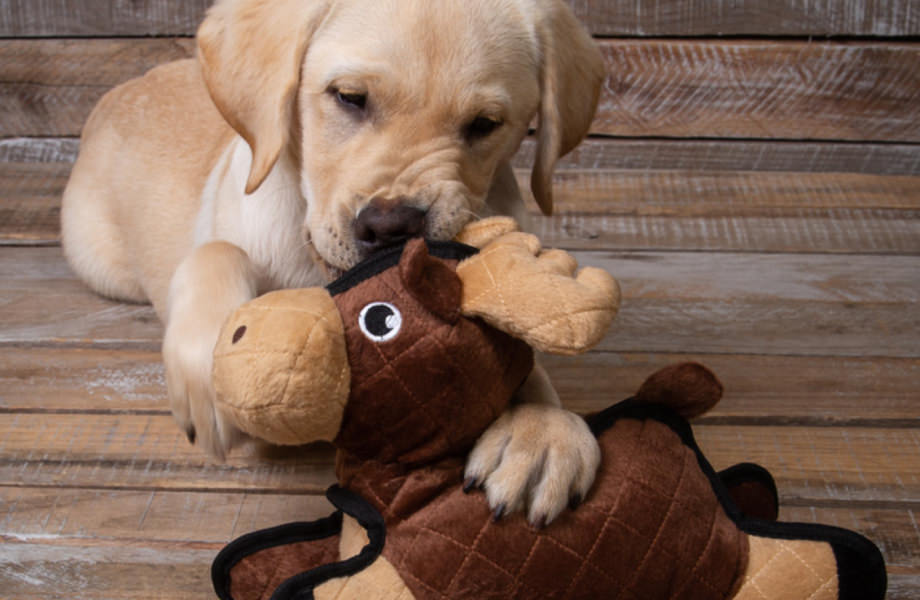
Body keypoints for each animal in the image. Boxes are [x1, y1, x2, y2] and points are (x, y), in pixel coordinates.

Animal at [59, 0, 604, 524]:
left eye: (485, 125)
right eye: (349, 97)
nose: (391, 228)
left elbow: (518, 346)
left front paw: (540, 430)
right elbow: (217, 252)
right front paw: (211, 367)